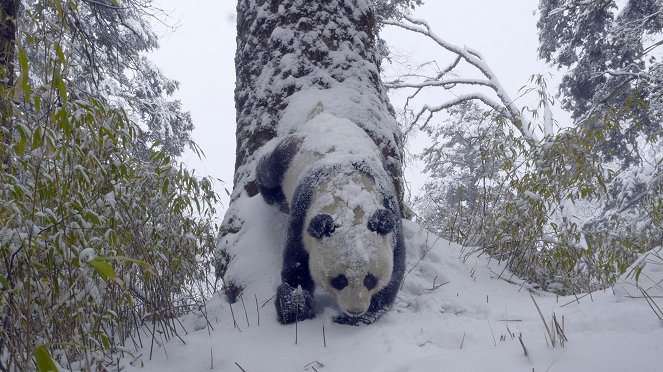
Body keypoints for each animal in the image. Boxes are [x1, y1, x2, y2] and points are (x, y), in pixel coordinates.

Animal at [256, 109, 408, 324]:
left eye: (370, 279)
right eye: (340, 279)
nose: (355, 310)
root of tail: (325, 116)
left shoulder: (389, 211)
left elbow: (395, 270)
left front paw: (356, 318)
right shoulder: (304, 211)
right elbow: (297, 265)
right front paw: (295, 308)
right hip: (293, 150)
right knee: (270, 169)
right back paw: (271, 192)